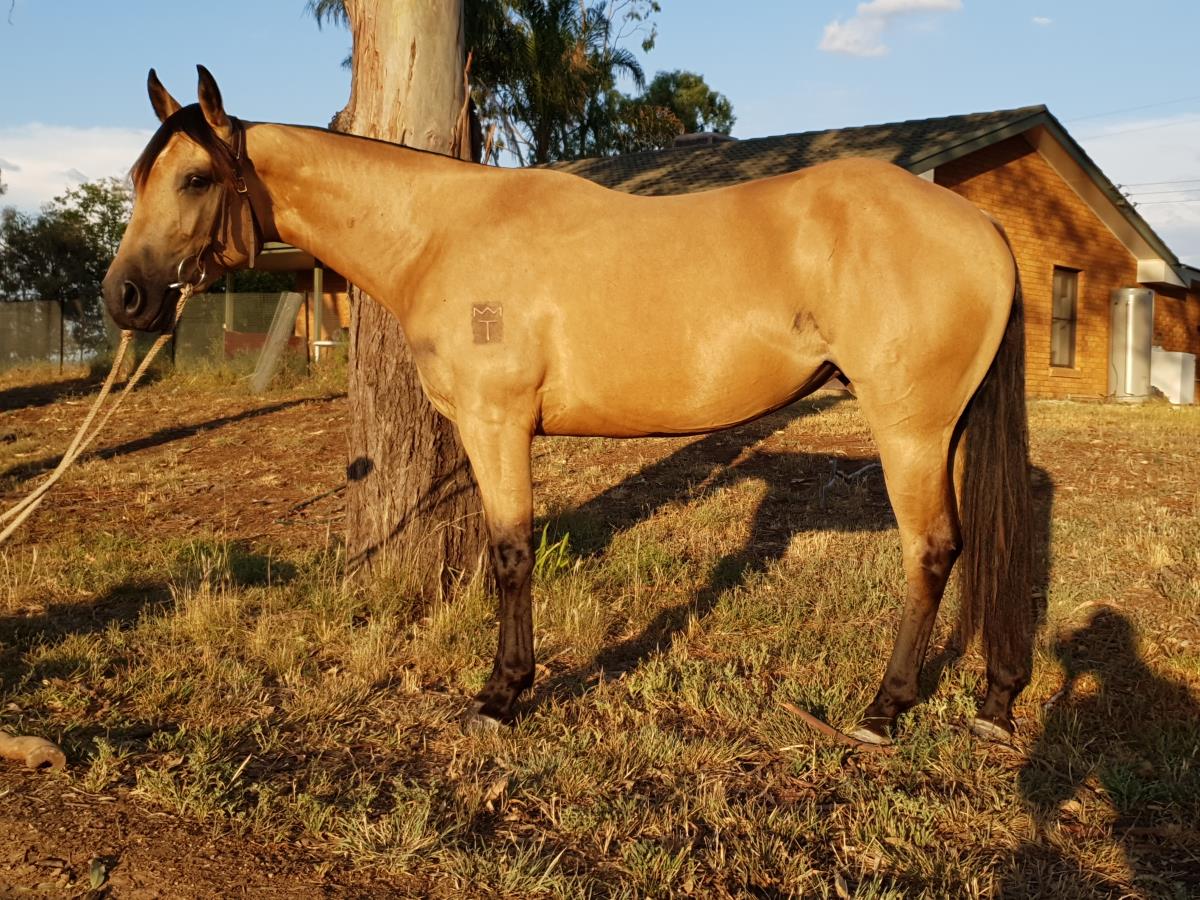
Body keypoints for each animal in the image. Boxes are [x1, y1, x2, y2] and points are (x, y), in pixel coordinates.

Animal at [102, 66, 1035, 744]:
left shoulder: (497, 425)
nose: (125, 299)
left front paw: (502, 695)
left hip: (909, 430)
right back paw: (992, 698)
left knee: (931, 550)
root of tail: (981, 225)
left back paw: (883, 709)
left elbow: (512, 554)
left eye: (195, 178)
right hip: (945, 431)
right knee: (984, 543)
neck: (439, 234)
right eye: (139, 177)